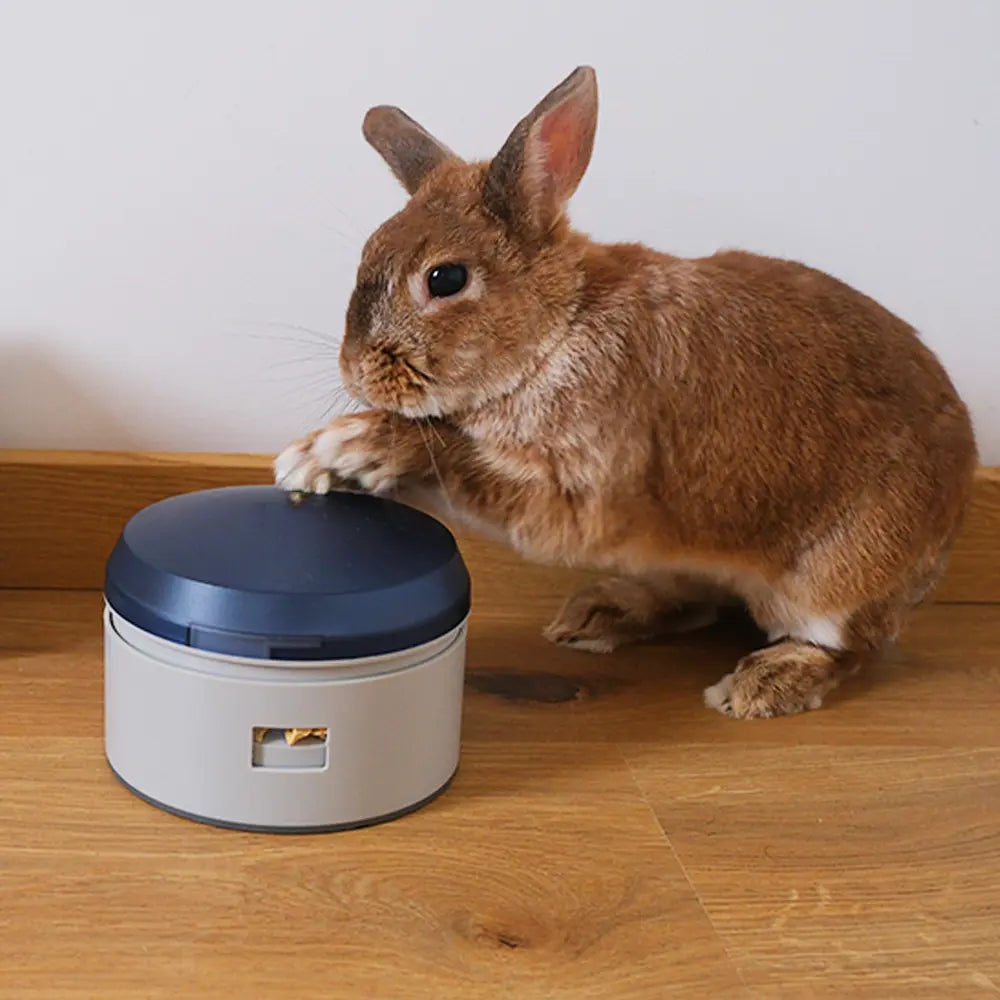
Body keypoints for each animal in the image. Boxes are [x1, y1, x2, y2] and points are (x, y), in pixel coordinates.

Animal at [274, 66, 977, 719]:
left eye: (445, 279)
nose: (354, 370)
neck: (559, 328)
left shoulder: (584, 489)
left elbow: (460, 466)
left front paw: (344, 448)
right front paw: (321, 462)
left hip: (836, 579)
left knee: (847, 646)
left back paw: (762, 685)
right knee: (694, 602)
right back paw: (598, 615)